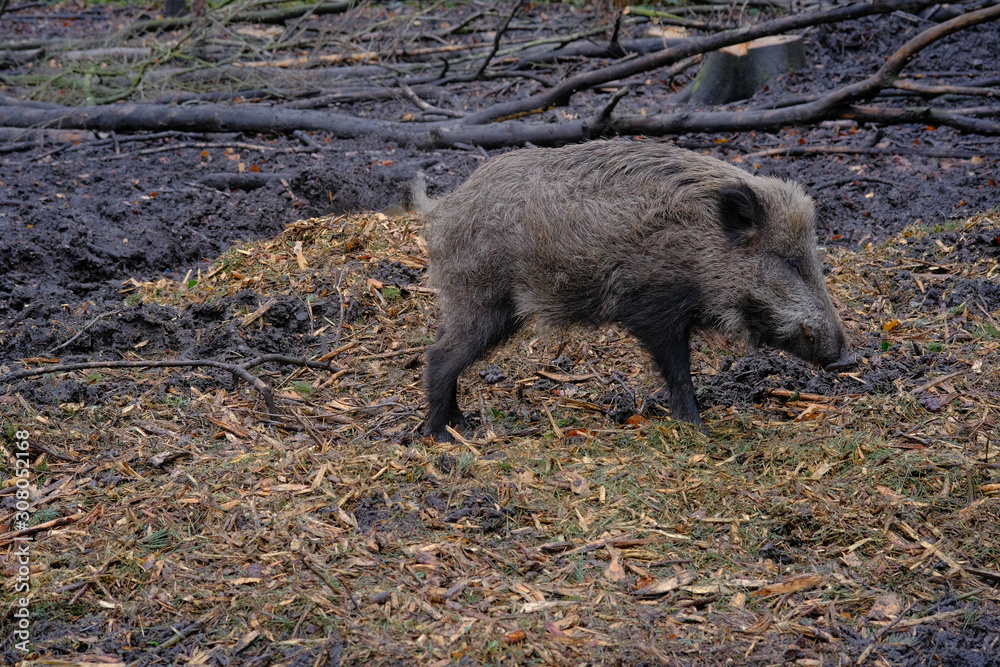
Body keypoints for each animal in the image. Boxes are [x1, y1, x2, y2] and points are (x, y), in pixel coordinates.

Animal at [406, 140, 852, 441]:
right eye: (789, 262)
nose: (846, 358)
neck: (702, 247)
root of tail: (444, 208)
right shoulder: (654, 308)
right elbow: (678, 371)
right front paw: (698, 428)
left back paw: (459, 424)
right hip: (481, 296)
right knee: (439, 355)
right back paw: (445, 434)